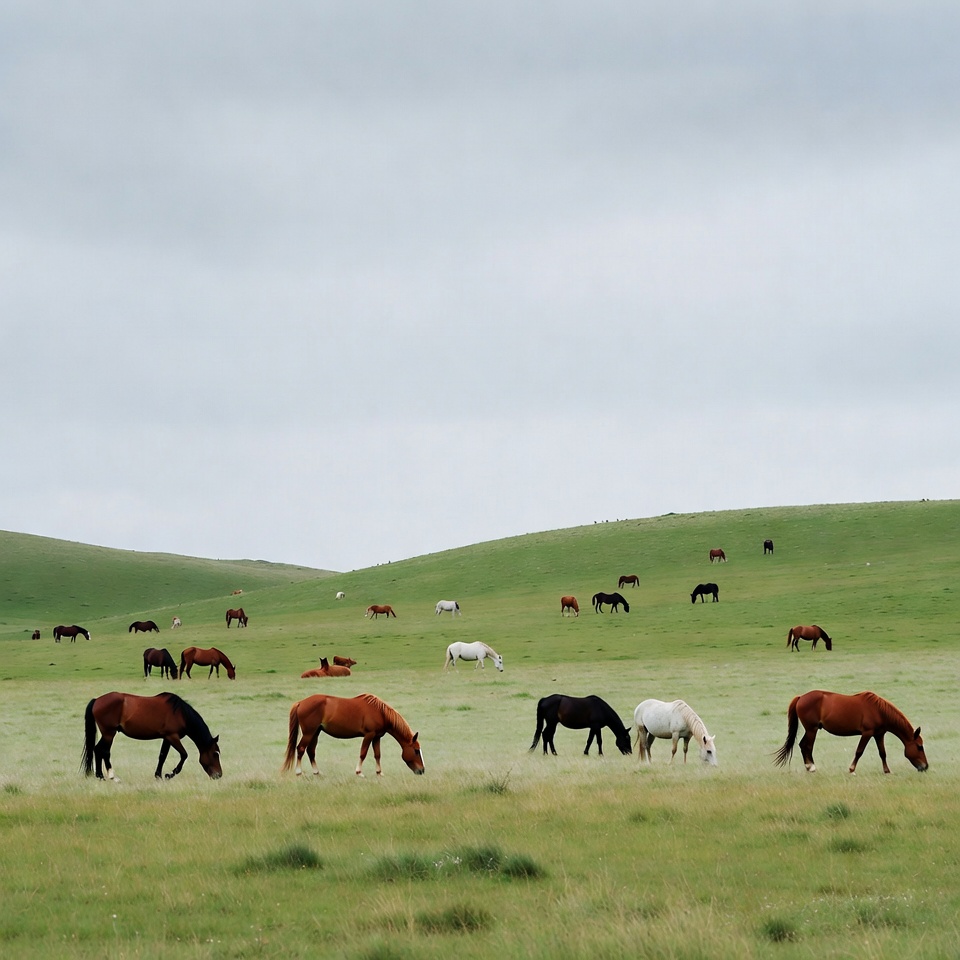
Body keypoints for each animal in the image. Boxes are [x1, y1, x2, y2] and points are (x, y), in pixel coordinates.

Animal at [81, 691, 221, 781]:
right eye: (215, 754)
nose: (219, 775)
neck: (181, 714)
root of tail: (97, 700)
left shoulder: (167, 738)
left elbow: (162, 756)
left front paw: (158, 775)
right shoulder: (172, 737)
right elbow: (184, 755)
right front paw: (170, 774)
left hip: (108, 734)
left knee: (97, 750)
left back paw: (100, 776)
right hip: (109, 733)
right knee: (103, 751)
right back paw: (110, 776)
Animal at [282, 693, 424, 777]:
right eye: (416, 751)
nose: (422, 770)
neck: (380, 712)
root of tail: (300, 702)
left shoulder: (376, 737)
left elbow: (377, 755)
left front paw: (379, 772)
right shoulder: (369, 735)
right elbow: (363, 753)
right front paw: (359, 772)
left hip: (315, 732)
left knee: (311, 751)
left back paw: (317, 772)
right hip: (309, 733)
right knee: (301, 748)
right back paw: (299, 772)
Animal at [773, 690, 927, 774]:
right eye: (919, 747)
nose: (925, 766)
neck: (879, 711)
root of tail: (801, 697)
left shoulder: (879, 734)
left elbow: (882, 753)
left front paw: (887, 771)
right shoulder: (867, 733)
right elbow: (859, 751)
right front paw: (852, 769)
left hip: (811, 729)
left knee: (802, 745)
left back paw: (808, 766)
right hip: (812, 729)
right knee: (807, 746)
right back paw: (811, 767)